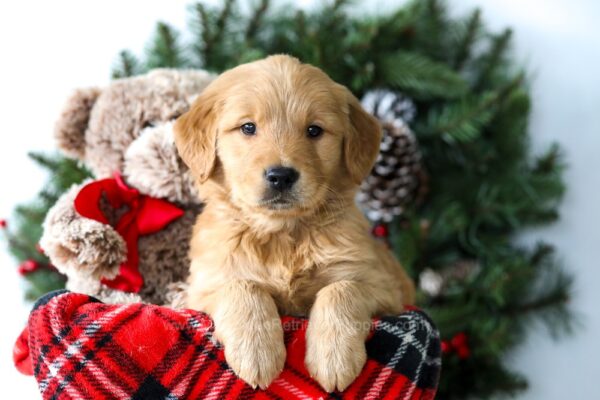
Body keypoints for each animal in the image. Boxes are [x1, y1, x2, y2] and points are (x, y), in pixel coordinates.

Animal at [176, 54, 414, 392]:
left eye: (314, 131)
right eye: (248, 127)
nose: (281, 176)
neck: (282, 235)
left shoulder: (385, 287)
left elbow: (342, 288)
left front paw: (334, 358)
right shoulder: (202, 286)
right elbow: (241, 286)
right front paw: (256, 351)